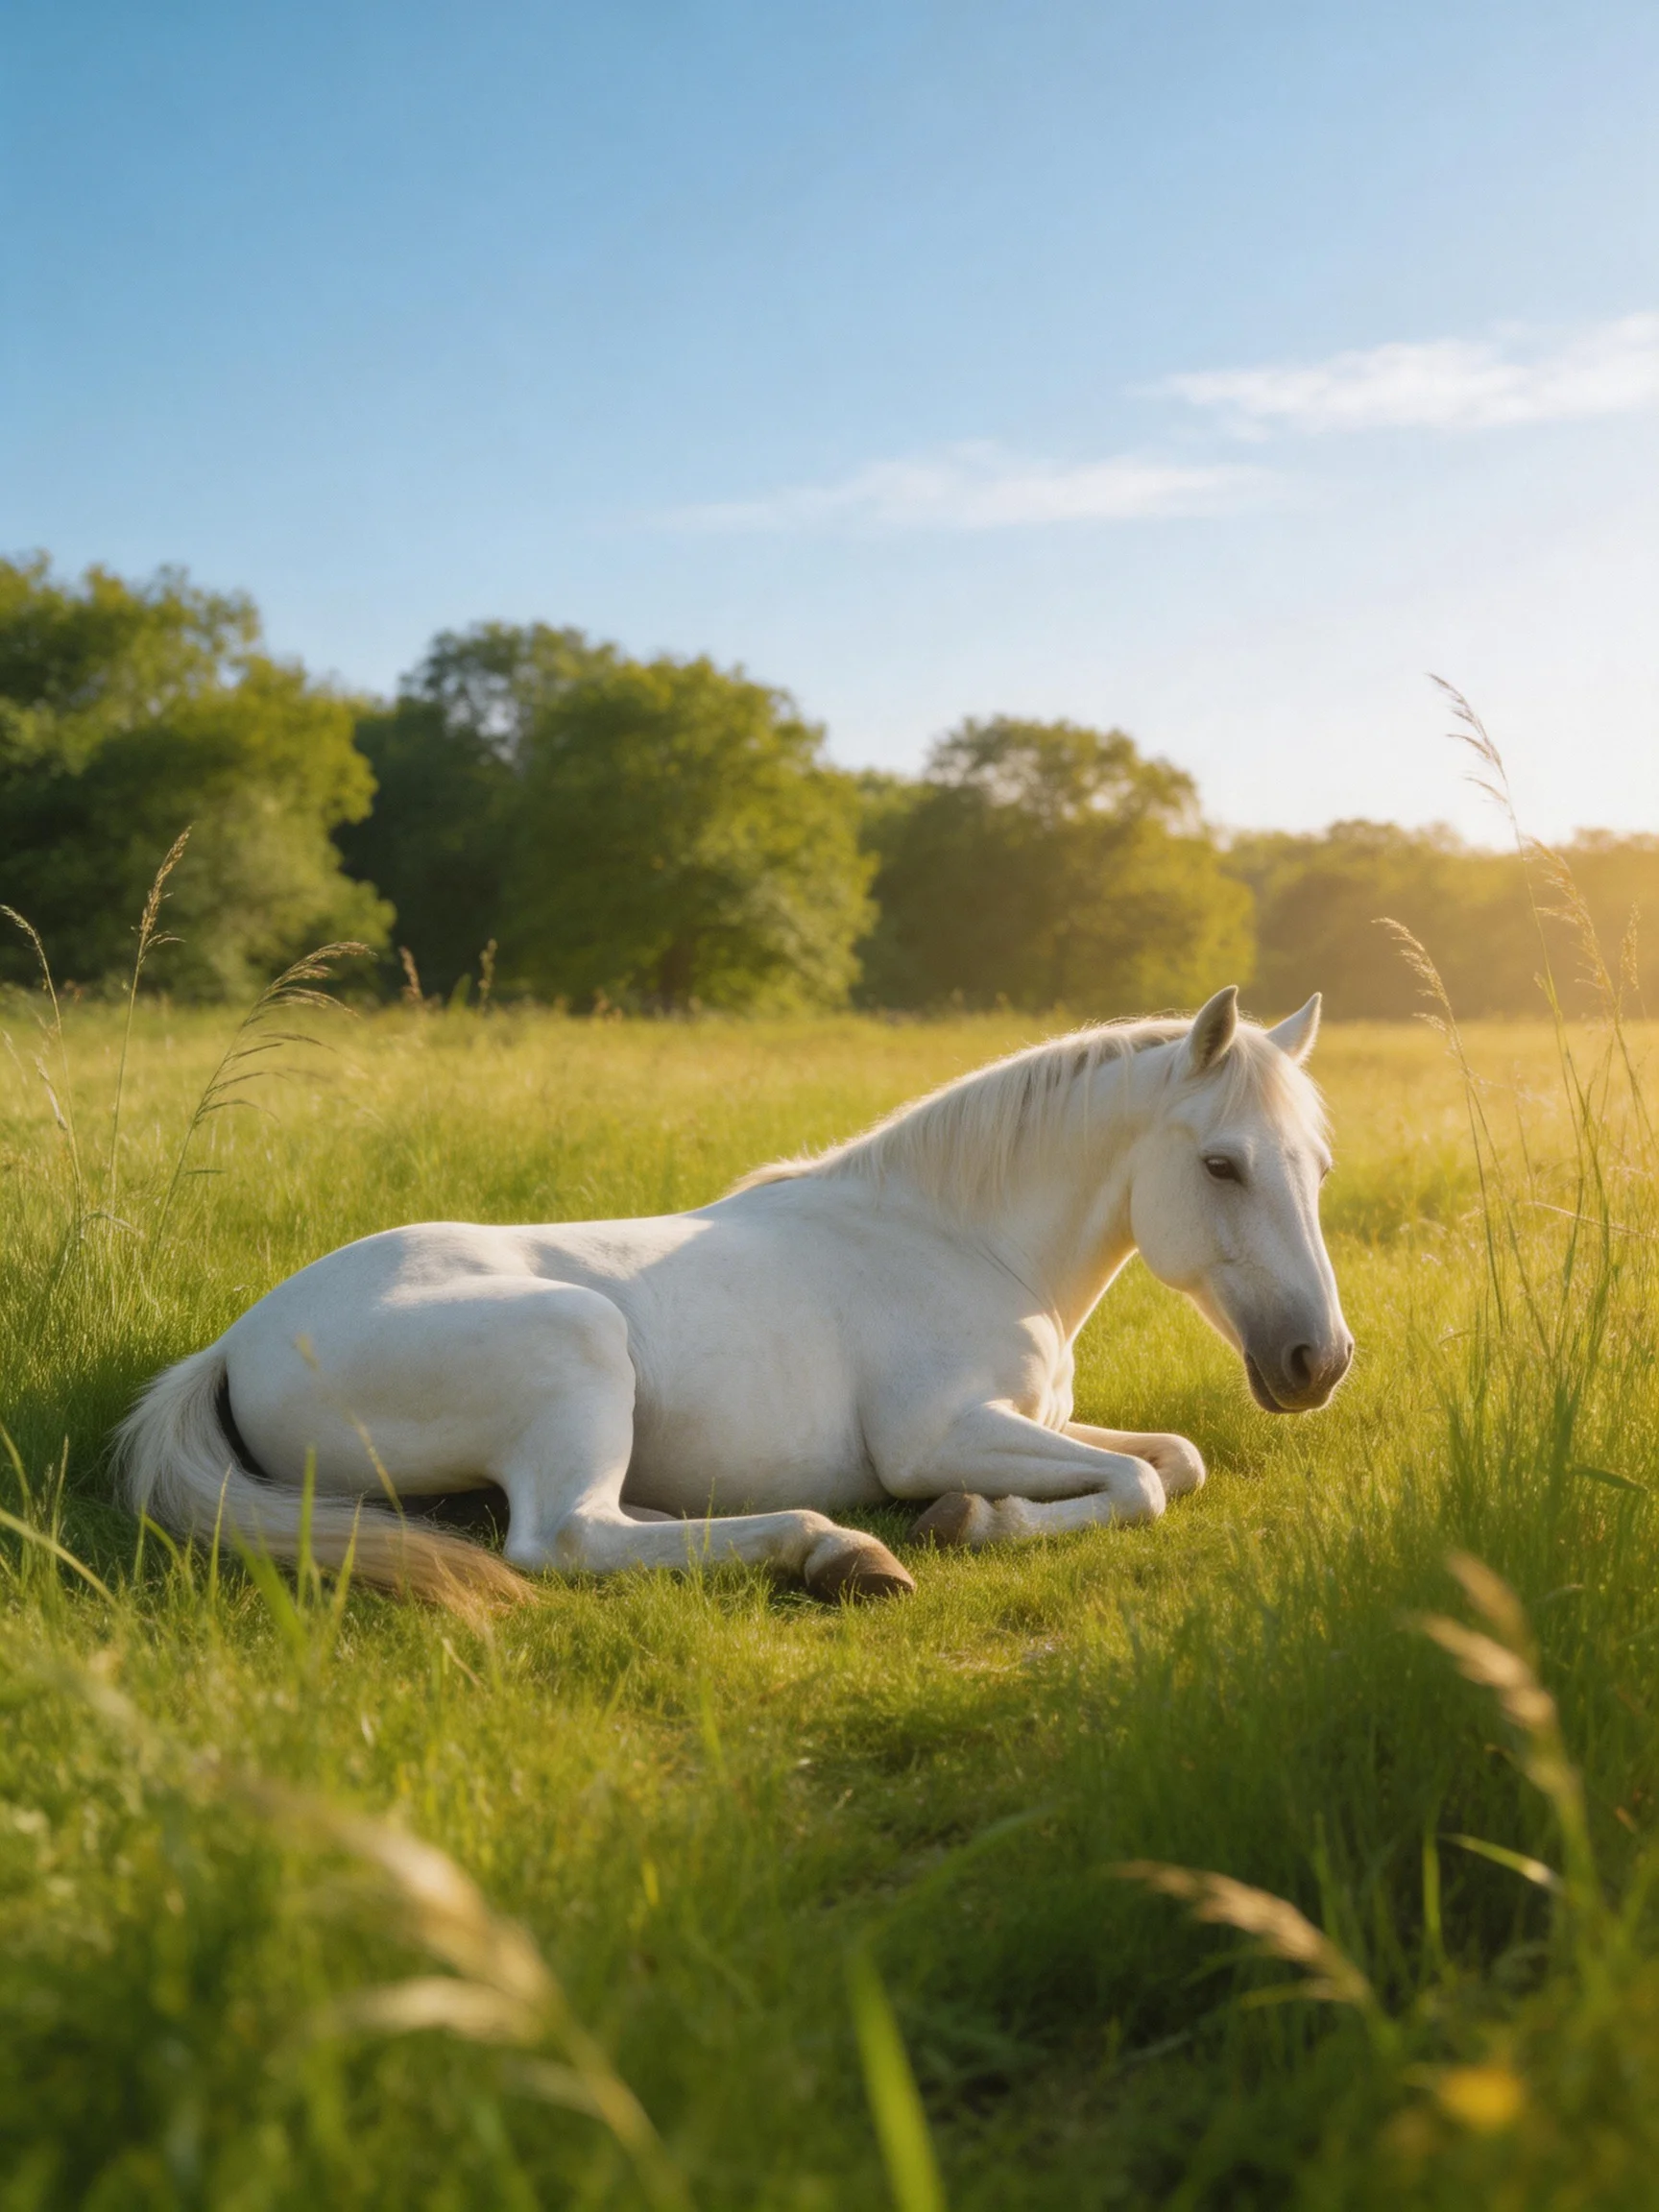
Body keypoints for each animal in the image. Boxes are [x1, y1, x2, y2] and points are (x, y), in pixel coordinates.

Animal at [117, 985, 1351, 1611]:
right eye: (1223, 1165)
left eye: (1319, 1166)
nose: (1319, 1362)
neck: (960, 1238)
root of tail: (236, 1344)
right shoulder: (940, 1435)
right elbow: (1140, 1485)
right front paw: (971, 1521)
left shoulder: (1033, 1422)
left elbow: (1175, 1458)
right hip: (578, 1340)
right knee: (565, 1540)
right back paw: (833, 1550)